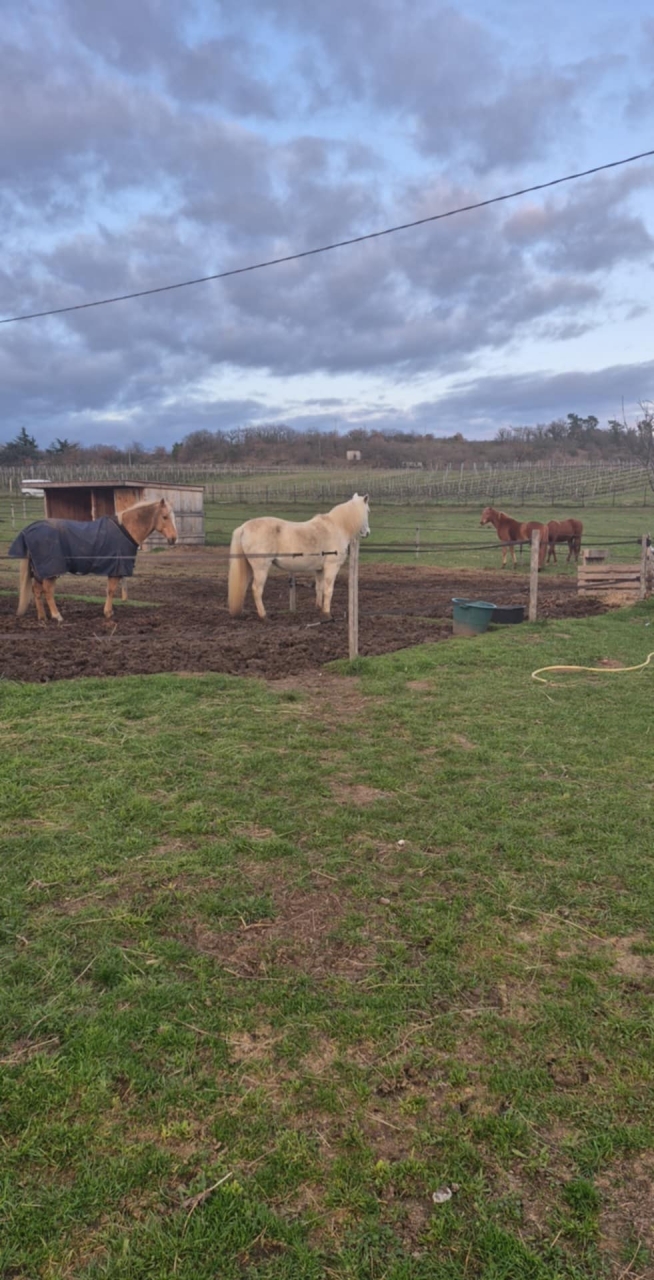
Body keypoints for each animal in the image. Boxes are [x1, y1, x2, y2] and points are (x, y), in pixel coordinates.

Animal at [10, 498, 177, 623]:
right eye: (165, 517)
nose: (174, 539)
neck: (126, 529)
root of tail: (28, 530)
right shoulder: (116, 569)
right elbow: (111, 590)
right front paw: (108, 612)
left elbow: (110, 590)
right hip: (51, 570)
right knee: (48, 590)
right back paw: (57, 616)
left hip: (40, 570)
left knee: (37, 590)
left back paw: (42, 617)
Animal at [228, 493, 370, 620]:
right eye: (368, 511)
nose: (368, 532)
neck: (337, 527)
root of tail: (244, 527)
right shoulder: (331, 567)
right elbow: (328, 590)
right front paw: (327, 614)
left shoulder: (319, 570)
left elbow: (319, 588)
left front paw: (319, 608)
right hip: (261, 568)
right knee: (257, 590)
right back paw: (264, 616)